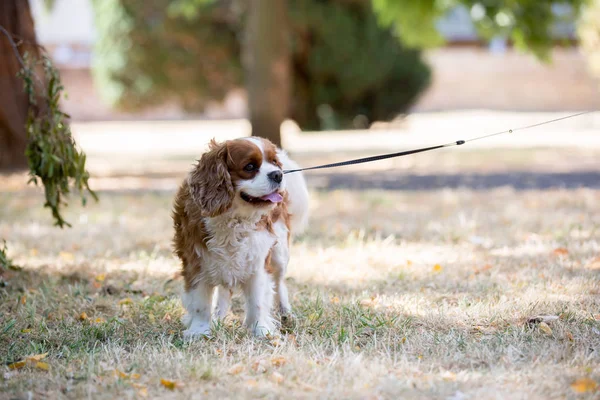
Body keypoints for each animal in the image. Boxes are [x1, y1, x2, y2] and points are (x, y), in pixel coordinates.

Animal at [170, 138, 308, 338]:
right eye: (249, 166)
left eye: (274, 162)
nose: (278, 174)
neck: (234, 218)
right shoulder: (196, 262)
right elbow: (200, 303)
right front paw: (199, 331)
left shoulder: (257, 261)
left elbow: (257, 301)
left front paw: (261, 330)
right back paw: (218, 317)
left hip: (280, 253)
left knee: (279, 283)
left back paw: (286, 314)